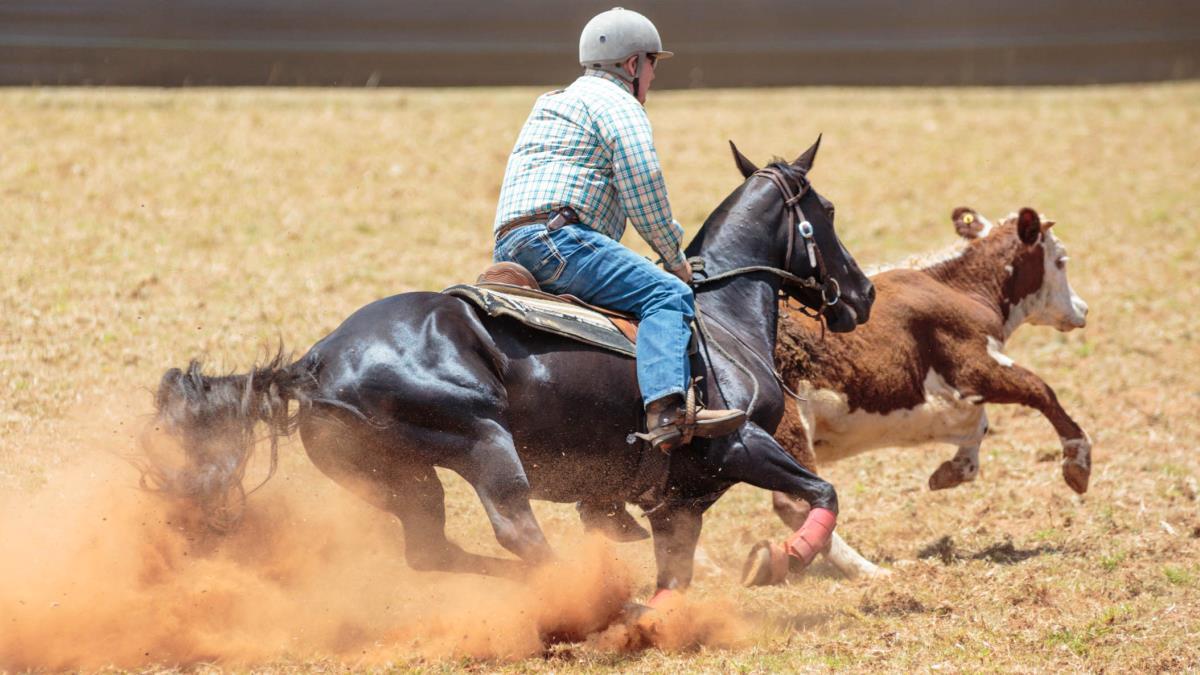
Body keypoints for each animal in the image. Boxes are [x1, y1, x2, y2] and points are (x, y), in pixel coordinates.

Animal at [144, 136, 875, 597]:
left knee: (431, 550)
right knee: (516, 528)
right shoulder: (738, 443)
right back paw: (598, 599)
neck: (720, 316)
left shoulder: (682, 493)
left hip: (397, 474)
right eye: (828, 211)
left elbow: (678, 566)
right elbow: (822, 493)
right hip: (483, 441)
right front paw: (778, 561)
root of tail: (315, 363)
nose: (863, 294)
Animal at [739, 205, 1092, 583]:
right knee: (798, 502)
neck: (960, 288)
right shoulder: (975, 367)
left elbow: (978, 427)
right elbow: (1040, 391)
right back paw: (866, 570)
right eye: (1060, 260)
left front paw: (951, 471)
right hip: (790, 424)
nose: (1082, 309)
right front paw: (1078, 464)